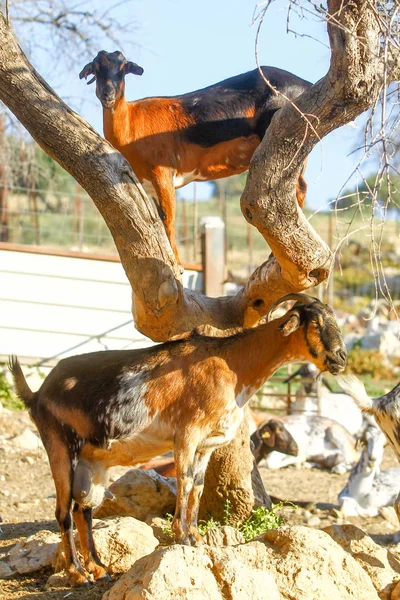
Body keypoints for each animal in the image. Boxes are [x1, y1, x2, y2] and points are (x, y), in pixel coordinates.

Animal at [10, 292, 346, 584]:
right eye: (316, 322)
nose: (341, 358)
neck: (232, 364)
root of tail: (37, 394)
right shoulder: (186, 433)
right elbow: (183, 480)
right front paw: (181, 536)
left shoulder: (208, 444)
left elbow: (197, 484)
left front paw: (196, 537)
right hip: (59, 446)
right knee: (63, 511)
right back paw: (78, 573)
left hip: (92, 462)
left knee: (84, 510)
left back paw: (99, 568)